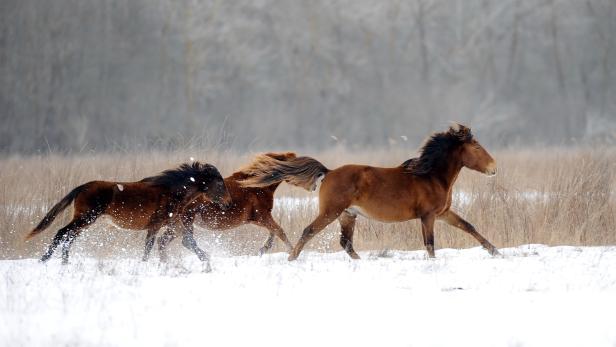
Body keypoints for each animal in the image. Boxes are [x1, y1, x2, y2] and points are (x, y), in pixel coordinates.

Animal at [24, 163, 233, 266]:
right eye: (219, 183)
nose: (228, 202)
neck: (173, 191)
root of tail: (82, 187)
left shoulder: (173, 223)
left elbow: (188, 241)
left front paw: (206, 259)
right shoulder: (156, 224)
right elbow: (148, 247)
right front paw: (144, 264)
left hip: (85, 220)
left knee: (69, 236)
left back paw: (65, 262)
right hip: (86, 217)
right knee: (62, 233)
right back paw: (44, 260)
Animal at [153, 152, 298, 260]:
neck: (256, 187)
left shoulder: (258, 219)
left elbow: (274, 232)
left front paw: (263, 249)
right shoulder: (262, 216)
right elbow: (280, 231)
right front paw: (293, 254)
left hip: (176, 224)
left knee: (162, 241)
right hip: (186, 220)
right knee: (185, 241)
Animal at [239, 124, 500, 260]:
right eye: (477, 147)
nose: (494, 168)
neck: (431, 176)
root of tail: (328, 172)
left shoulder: (443, 213)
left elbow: (469, 226)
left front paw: (495, 251)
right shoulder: (428, 216)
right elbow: (430, 244)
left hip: (348, 215)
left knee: (345, 243)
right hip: (332, 212)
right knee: (309, 231)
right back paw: (292, 258)